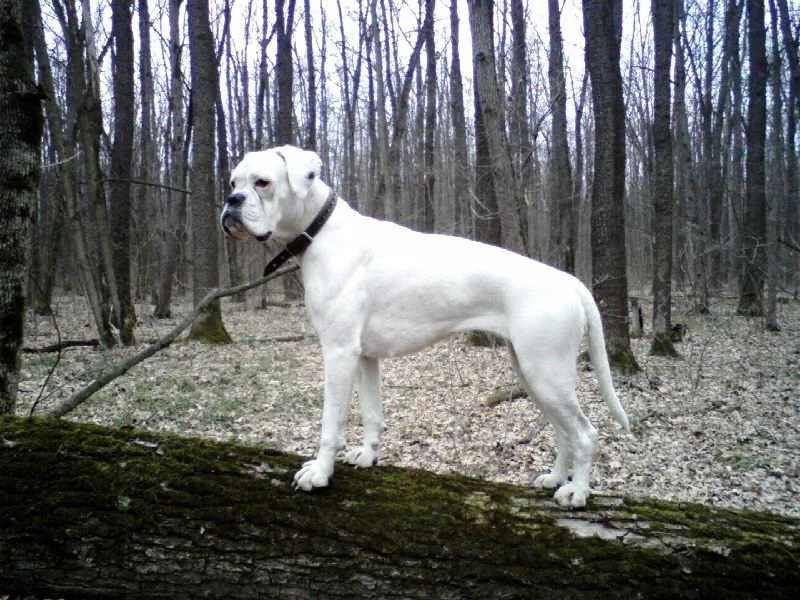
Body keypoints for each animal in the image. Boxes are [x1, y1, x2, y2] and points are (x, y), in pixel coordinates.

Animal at [221, 145, 629, 508]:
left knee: (585, 434)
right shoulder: (363, 357)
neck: (321, 232)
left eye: (262, 183)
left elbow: (330, 423)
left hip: (546, 374)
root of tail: (568, 280)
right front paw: (367, 457)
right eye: (233, 181)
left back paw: (577, 493)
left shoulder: (338, 354)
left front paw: (320, 474)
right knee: (564, 432)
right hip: (534, 376)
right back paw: (557, 478)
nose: (232, 201)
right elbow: (372, 415)